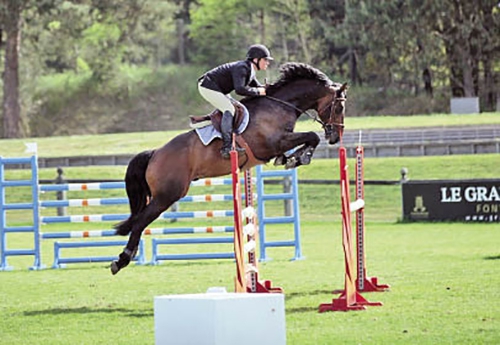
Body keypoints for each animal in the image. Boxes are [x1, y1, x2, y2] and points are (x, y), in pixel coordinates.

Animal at [111, 62, 346, 274]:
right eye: (339, 107)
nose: (335, 137)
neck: (280, 106)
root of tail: (155, 153)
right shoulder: (273, 143)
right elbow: (312, 136)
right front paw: (300, 157)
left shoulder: (279, 144)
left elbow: (307, 140)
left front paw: (293, 158)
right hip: (167, 195)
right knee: (139, 222)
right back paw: (121, 260)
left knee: (139, 221)